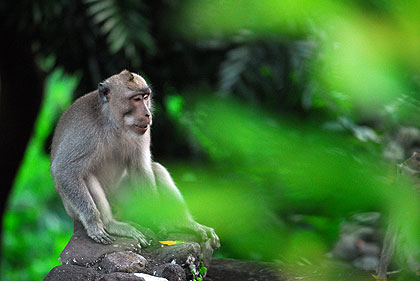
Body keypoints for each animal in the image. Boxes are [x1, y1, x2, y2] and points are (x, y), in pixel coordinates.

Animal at [50, 70, 220, 247]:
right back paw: (111, 224)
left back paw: (183, 223)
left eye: (146, 97)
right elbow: (64, 170)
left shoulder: (143, 132)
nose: (148, 114)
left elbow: (141, 168)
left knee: (157, 169)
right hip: (75, 209)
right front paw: (93, 224)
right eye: (136, 99)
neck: (114, 124)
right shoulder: (85, 132)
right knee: (85, 176)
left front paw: (158, 220)